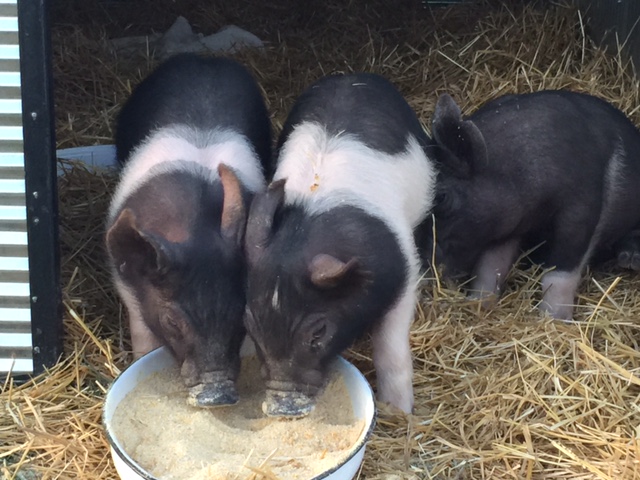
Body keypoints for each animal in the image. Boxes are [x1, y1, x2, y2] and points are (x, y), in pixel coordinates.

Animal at [105, 53, 272, 407]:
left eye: (239, 315)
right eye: (172, 321)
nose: (217, 394)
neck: (191, 229)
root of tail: (206, 57)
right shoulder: (124, 280)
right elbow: (142, 333)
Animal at [243, 73, 437, 417]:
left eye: (318, 332)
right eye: (250, 325)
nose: (281, 406)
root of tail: (353, 76)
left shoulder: (404, 273)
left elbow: (391, 349)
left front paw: (399, 410)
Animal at [426, 90, 640, 320]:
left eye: (441, 197)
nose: (428, 270)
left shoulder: (582, 208)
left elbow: (562, 270)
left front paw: (554, 319)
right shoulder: (507, 224)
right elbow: (491, 265)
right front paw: (477, 303)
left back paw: (630, 259)